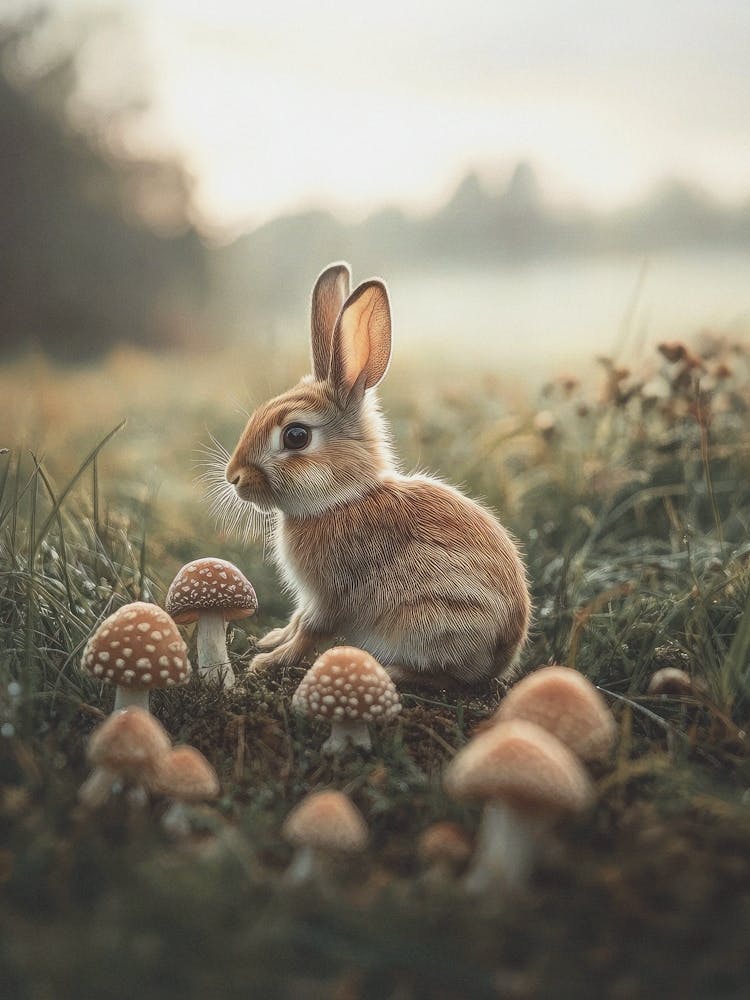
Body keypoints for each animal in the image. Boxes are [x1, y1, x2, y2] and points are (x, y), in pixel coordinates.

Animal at [225, 262, 531, 686]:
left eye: (296, 436)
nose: (233, 477)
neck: (342, 500)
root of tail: (503, 659)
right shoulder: (311, 597)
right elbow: (297, 620)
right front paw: (271, 639)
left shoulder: (332, 593)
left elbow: (310, 629)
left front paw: (269, 662)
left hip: (429, 620)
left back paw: (383, 668)